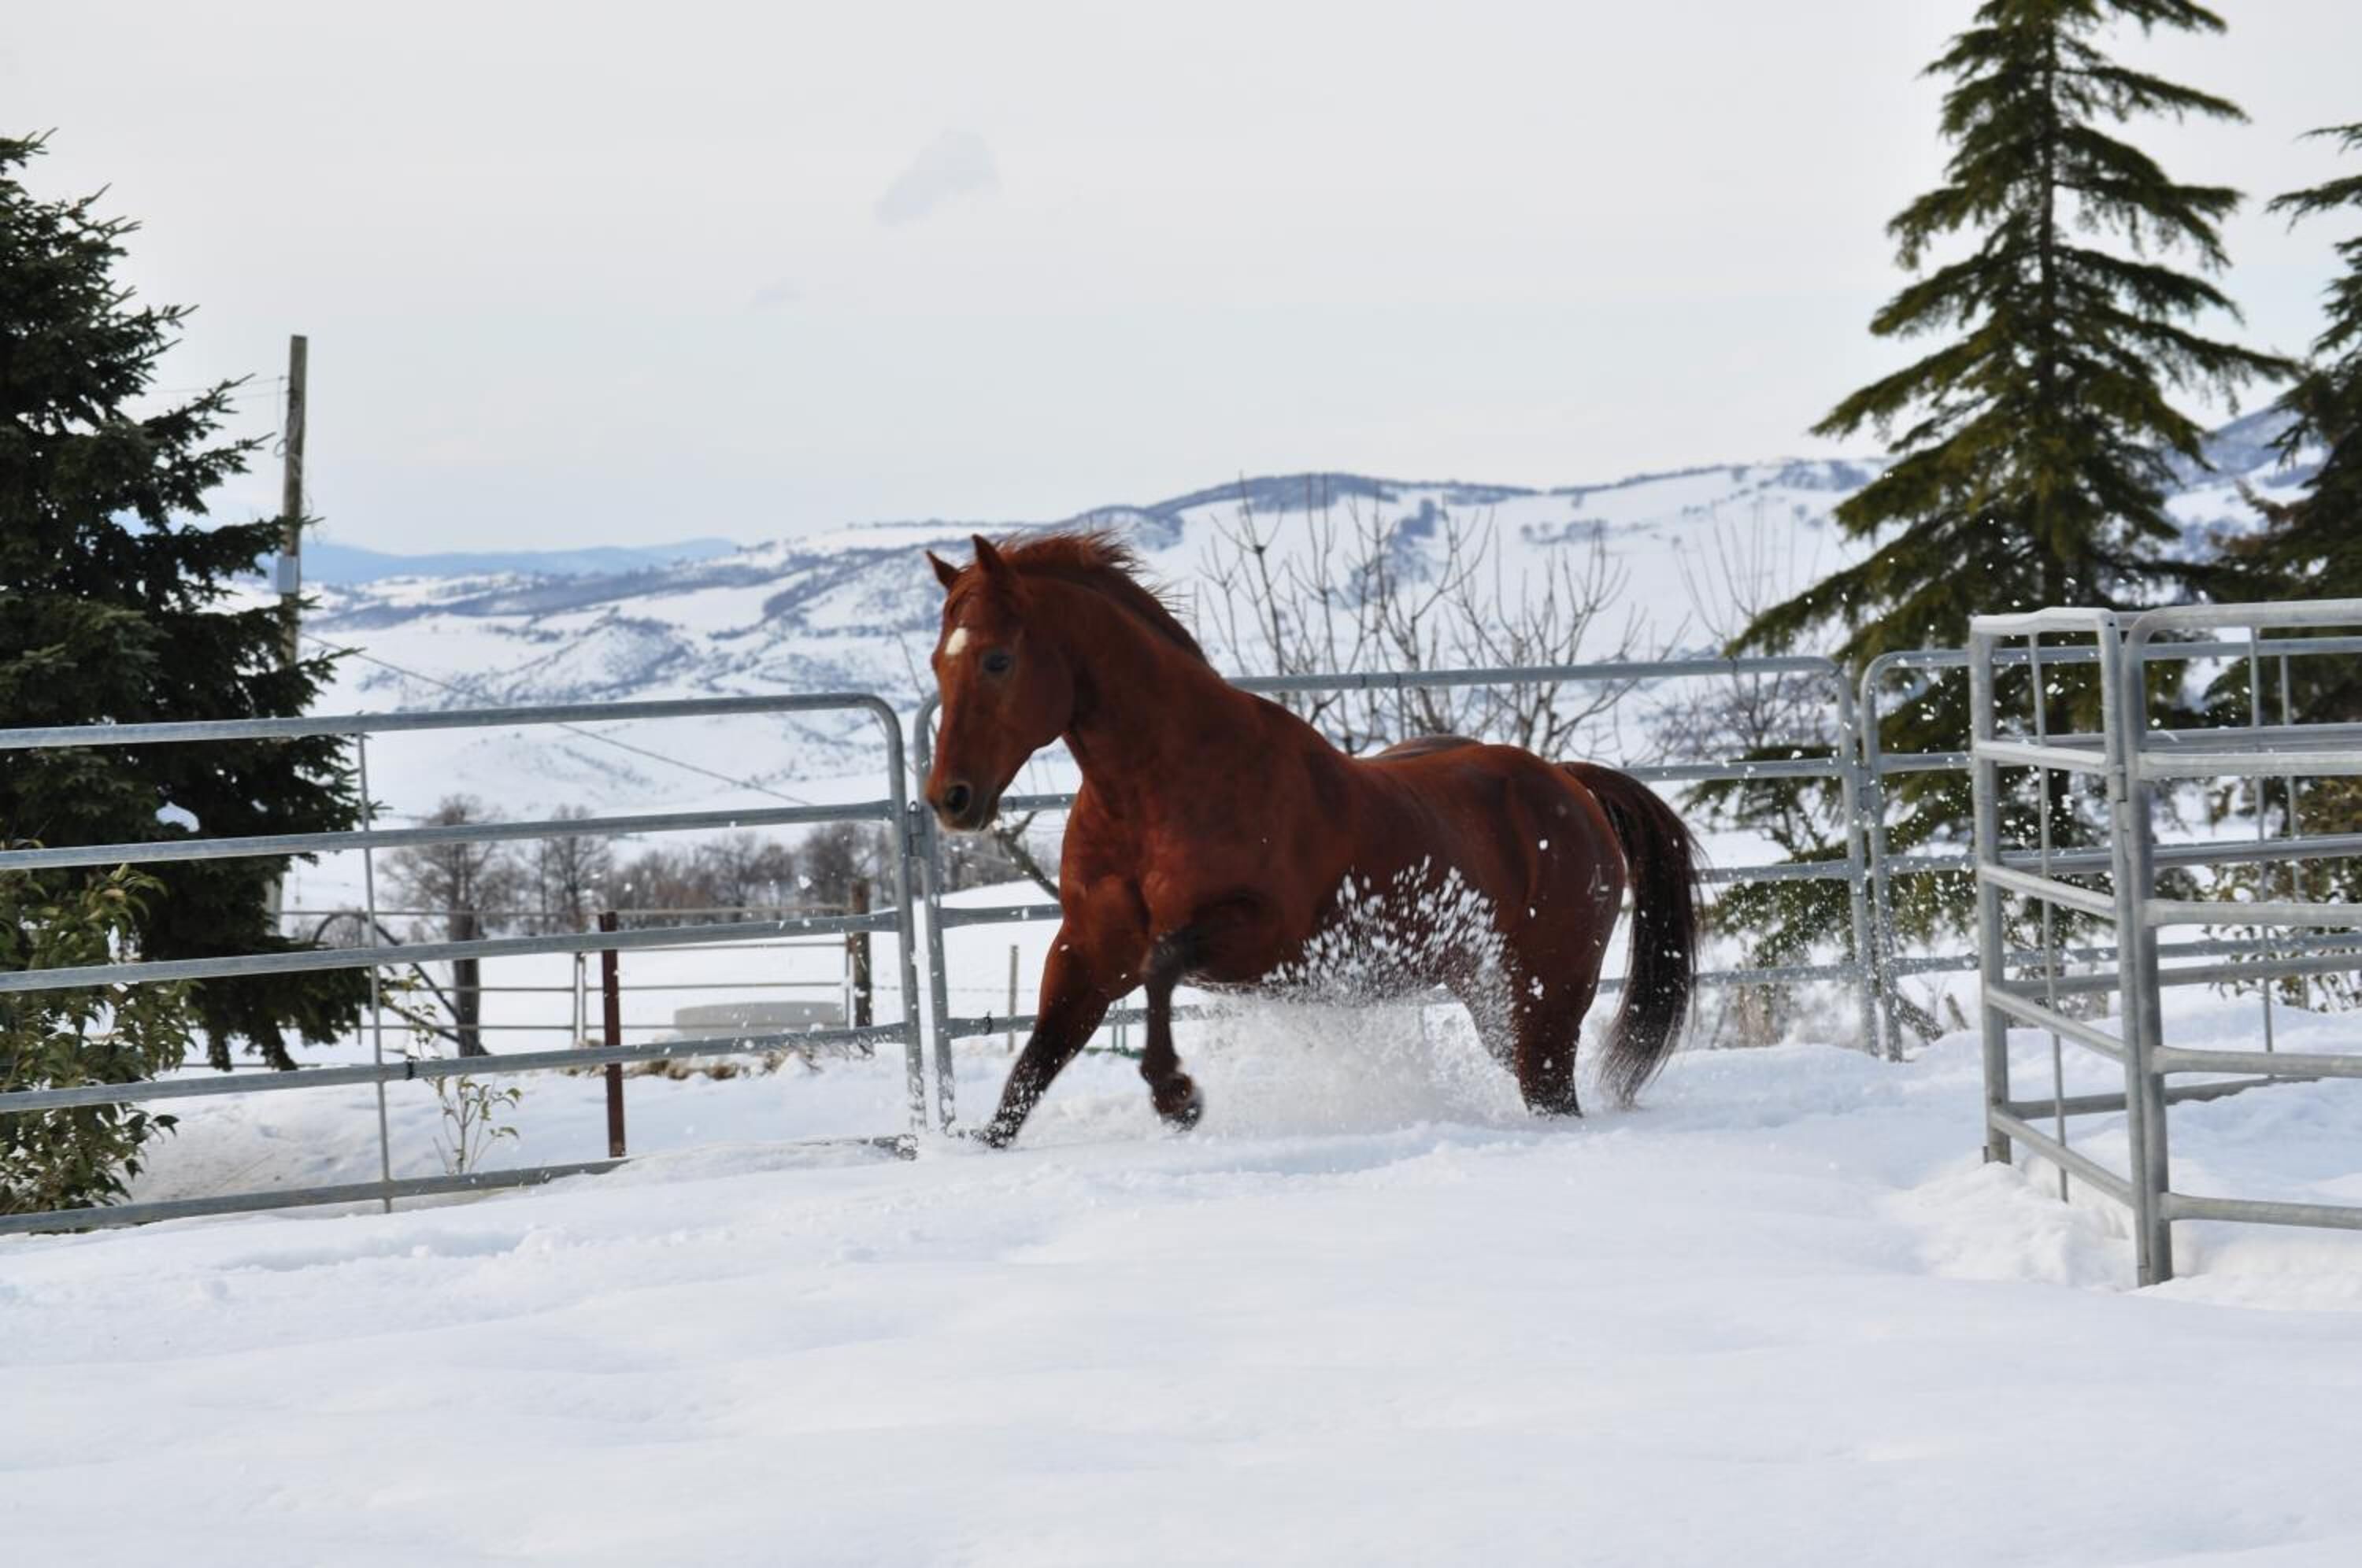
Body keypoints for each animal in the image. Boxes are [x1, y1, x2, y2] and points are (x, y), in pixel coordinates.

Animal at [922, 530, 1700, 1148]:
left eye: (997, 659)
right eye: (938, 662)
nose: (949, 799)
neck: (1158, 793)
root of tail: (1569, 784)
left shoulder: (1261, 939)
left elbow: (1162, 965)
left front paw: (1177, 1097)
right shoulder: (1085, 950)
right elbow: (1038, 1059)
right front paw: (980, 1145)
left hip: (1548, 993)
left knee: (1551, 1089)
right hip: (1491, 997)